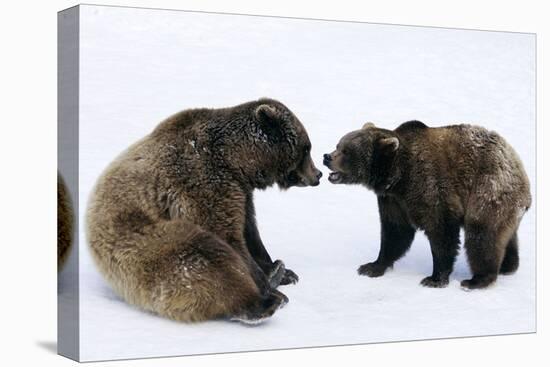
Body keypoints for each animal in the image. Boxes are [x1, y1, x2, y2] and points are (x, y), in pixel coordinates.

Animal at [86, 98, 324, 324]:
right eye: (307, 148)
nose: (318, 174)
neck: (233, 160)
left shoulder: (241, 192)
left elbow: (249, 231)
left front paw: (282, 271)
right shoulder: (201, 181)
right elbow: (226, 234)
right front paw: (270, 280)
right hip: (141, 246)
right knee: (204, 257)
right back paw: (264, 303)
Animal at [326, 121, 532, 290]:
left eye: (346, 151)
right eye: (338, 144)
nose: (326, 157)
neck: (398, 177)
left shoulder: (428, 185)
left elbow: (441, 230)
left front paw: (434, 278)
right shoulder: (393, 200)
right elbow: (395, 232)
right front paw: (371, 266)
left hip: (489, 189)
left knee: (481, 234)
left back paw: (477, 280)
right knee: (503, 235)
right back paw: (507, 266)